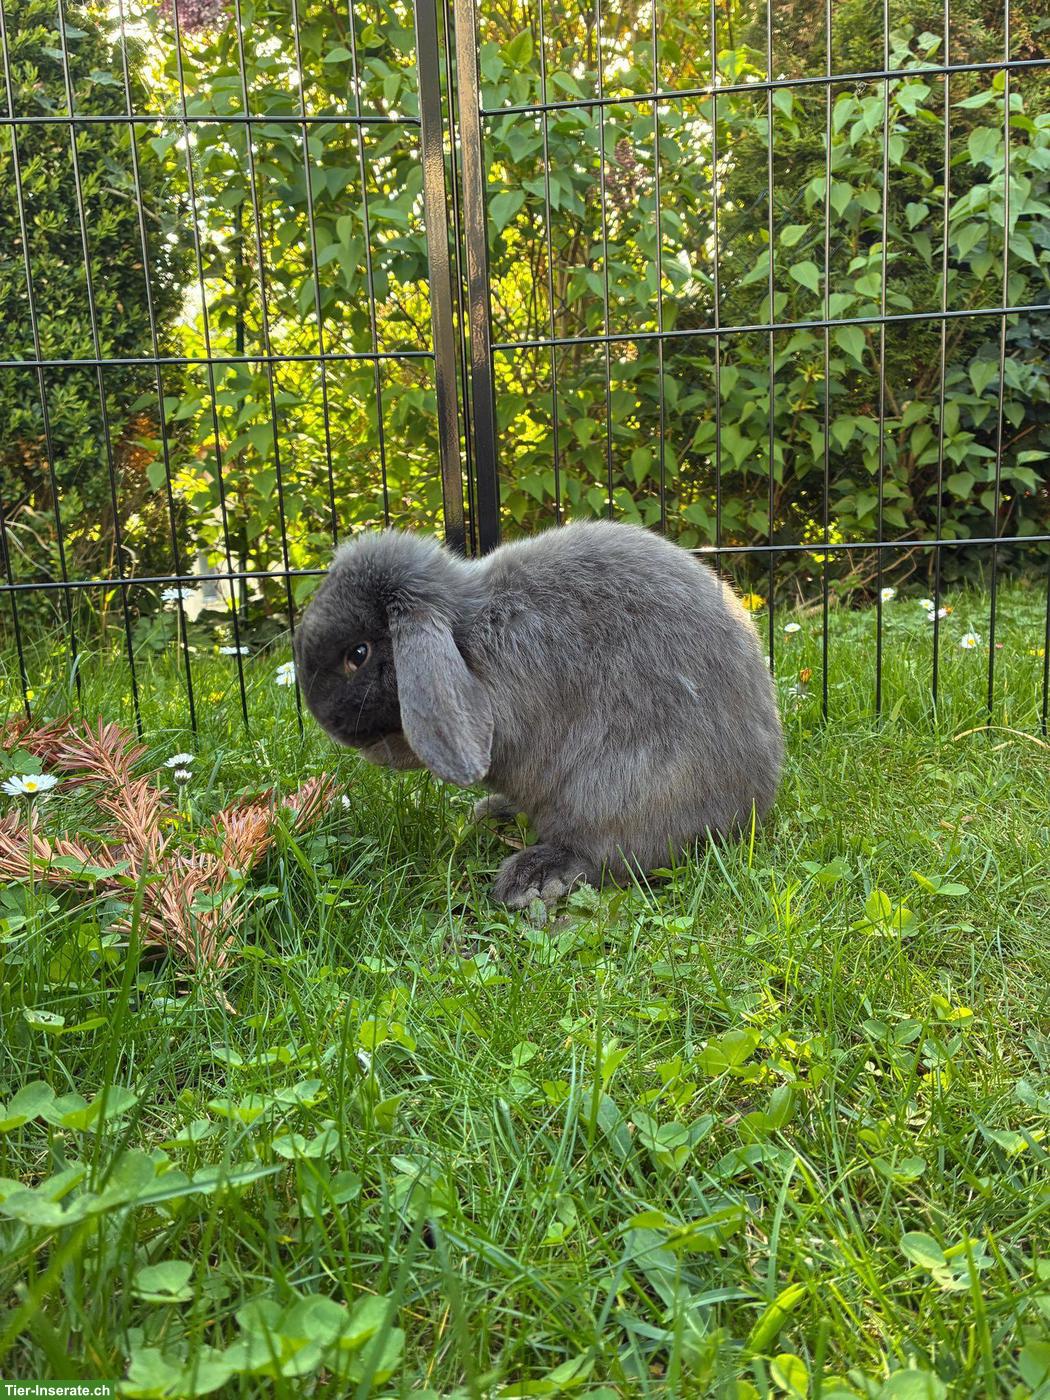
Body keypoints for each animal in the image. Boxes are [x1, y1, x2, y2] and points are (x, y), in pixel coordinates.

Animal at [292, 520, 784, 907]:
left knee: (608, 854)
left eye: (357, 654)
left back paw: (530, 877)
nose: (323, 720)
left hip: (613, 791)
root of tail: (751, 805)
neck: (465, 635)